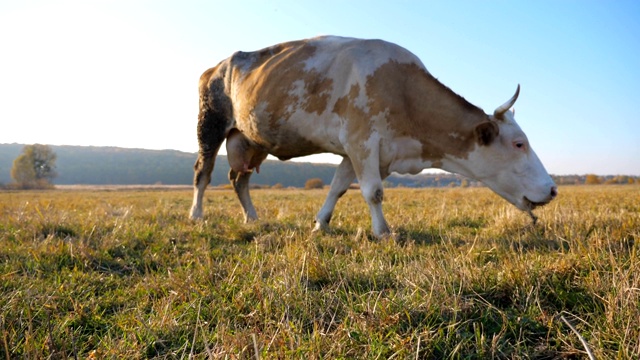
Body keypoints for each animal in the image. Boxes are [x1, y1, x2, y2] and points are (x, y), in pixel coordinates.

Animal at [189, 35, 556, 239]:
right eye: (519, 143)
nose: (553, 189)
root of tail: (216, 66)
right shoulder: (361, 140)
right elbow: (373, 191)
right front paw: (383, 233)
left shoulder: (363, 151)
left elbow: (338, 187)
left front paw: (320, 225)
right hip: (210, 124)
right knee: (203, 173)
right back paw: (196, 216)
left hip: (251, 139)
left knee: (238, 178)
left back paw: (252, 219)